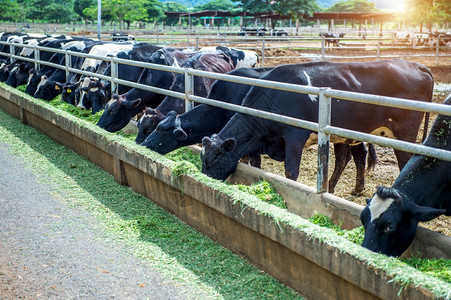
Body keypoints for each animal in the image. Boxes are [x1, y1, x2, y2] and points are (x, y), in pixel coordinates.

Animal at [201, 59, 434, 186]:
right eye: (203, 159)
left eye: (214, 159)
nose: (202, 179)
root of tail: (416, 65)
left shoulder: (294, 136)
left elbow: (290, 172)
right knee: (347, 158)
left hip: (405, 132)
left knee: (405, 163)